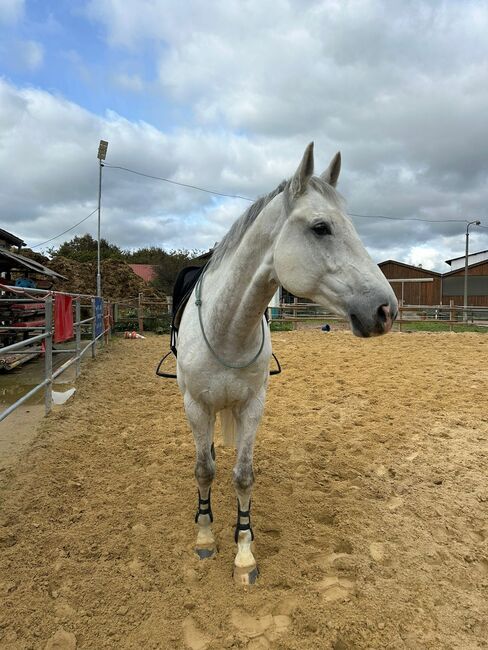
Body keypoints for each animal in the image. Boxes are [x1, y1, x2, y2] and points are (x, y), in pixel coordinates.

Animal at [175, 143, 396, 588]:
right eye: (321, 227)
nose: (386, 310)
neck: (227, 329)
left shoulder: (252, 406)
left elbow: (243, 476)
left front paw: (244, 551)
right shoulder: (197, 405)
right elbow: (204, 470)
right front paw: (205, 536)